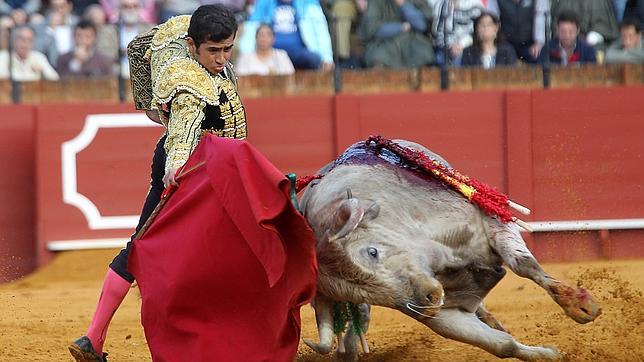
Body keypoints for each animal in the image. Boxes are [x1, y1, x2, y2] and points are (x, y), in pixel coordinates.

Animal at [300, 138, 600, 360]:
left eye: (372, 252)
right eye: (363, 294)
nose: (428, 299)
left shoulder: (489, 222)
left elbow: (524, 266)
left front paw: (580, 305)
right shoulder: (443, 311)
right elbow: (502, 345)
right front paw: (546, 354)